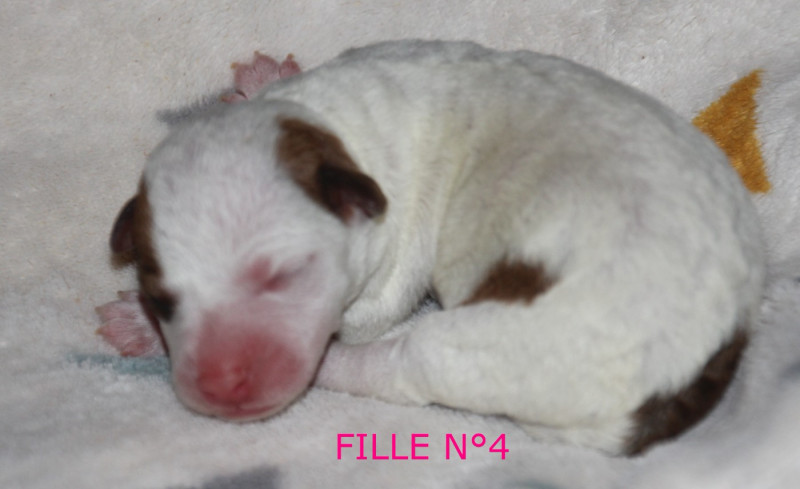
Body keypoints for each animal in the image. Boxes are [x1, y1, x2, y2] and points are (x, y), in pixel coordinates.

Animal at [98, 40, 764, 455]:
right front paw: (261, 81)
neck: (333, 126)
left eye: (282, 275)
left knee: (398, 367)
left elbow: (368, 316)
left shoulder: (389, 269)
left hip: (496, 346)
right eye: (162, 298)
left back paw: (335, 367)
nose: (219, 387)